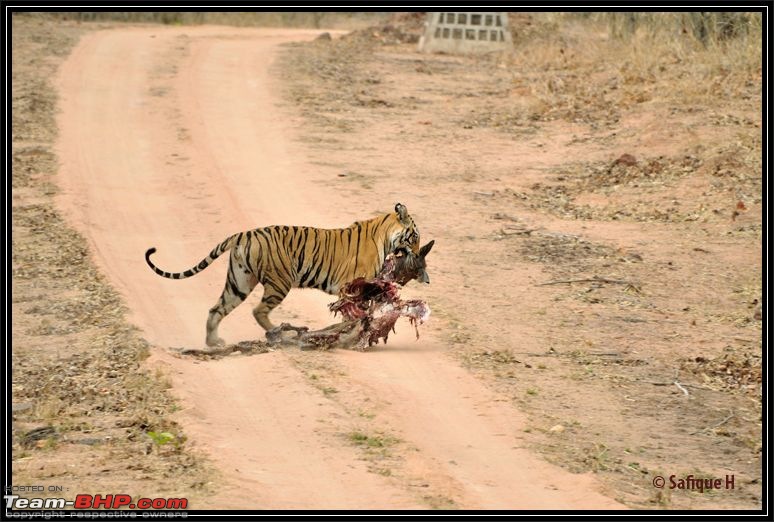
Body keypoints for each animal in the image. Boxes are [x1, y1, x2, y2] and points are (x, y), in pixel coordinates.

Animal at [146, 203, 424, 346]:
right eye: (415, 236)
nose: (419, 253)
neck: (385, 235)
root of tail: (242, 234)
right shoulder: (351, 287)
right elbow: (354, 312)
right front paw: (352, 331)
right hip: (280, 282)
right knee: (258, 311)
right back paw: (277, 333)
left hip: (239, 282)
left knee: (217, 309)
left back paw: (214, 342)